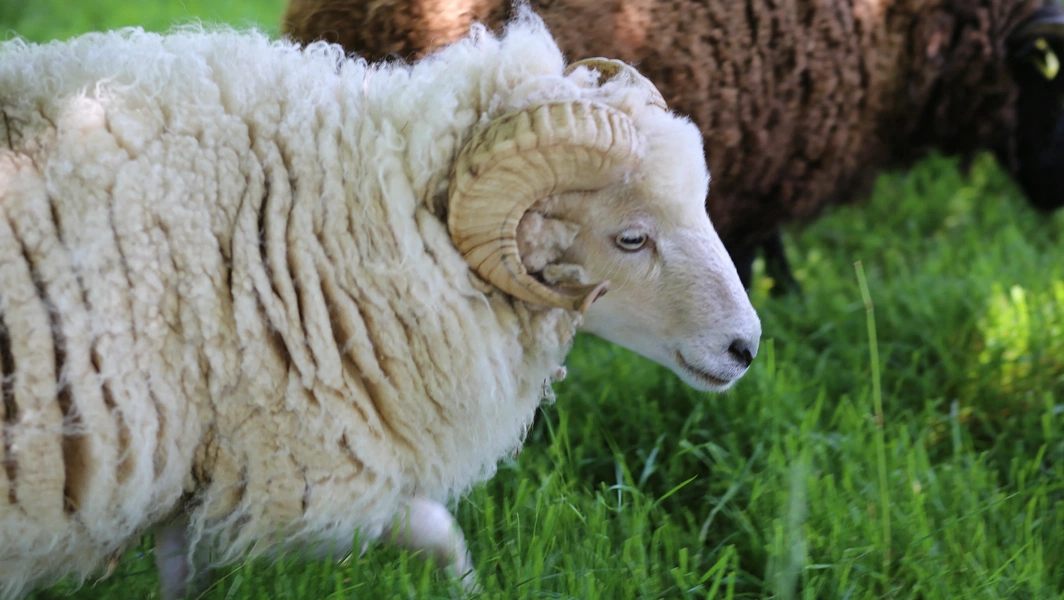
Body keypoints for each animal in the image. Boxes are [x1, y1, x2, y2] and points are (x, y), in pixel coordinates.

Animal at [0, 8, 761, 599]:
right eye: (631, 238)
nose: (746, 348)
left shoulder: (198, 460)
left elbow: (182, 569)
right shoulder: (293, 468)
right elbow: (436, 528)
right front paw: (471, 589)